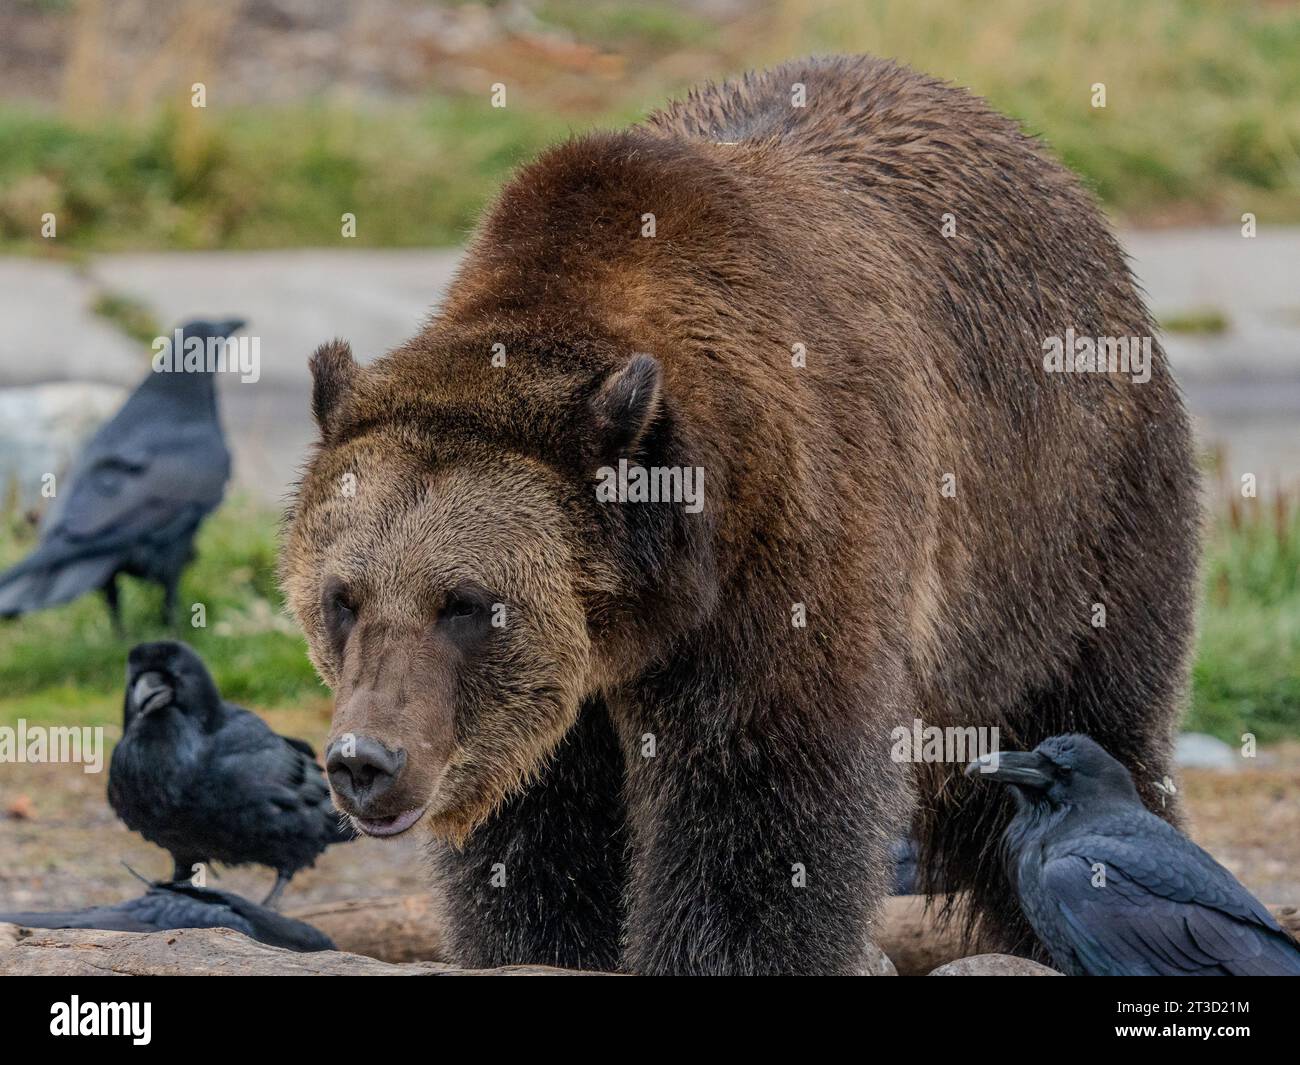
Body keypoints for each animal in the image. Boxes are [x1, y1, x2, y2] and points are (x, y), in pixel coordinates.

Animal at [280, 55, 1200, 975]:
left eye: (467, 603)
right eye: (342, 599)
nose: (365, 760)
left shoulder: (786, 552)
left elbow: (756, 817)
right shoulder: (556, 712)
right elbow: (538, 845)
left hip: (1067, 528)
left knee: (1081, 724)